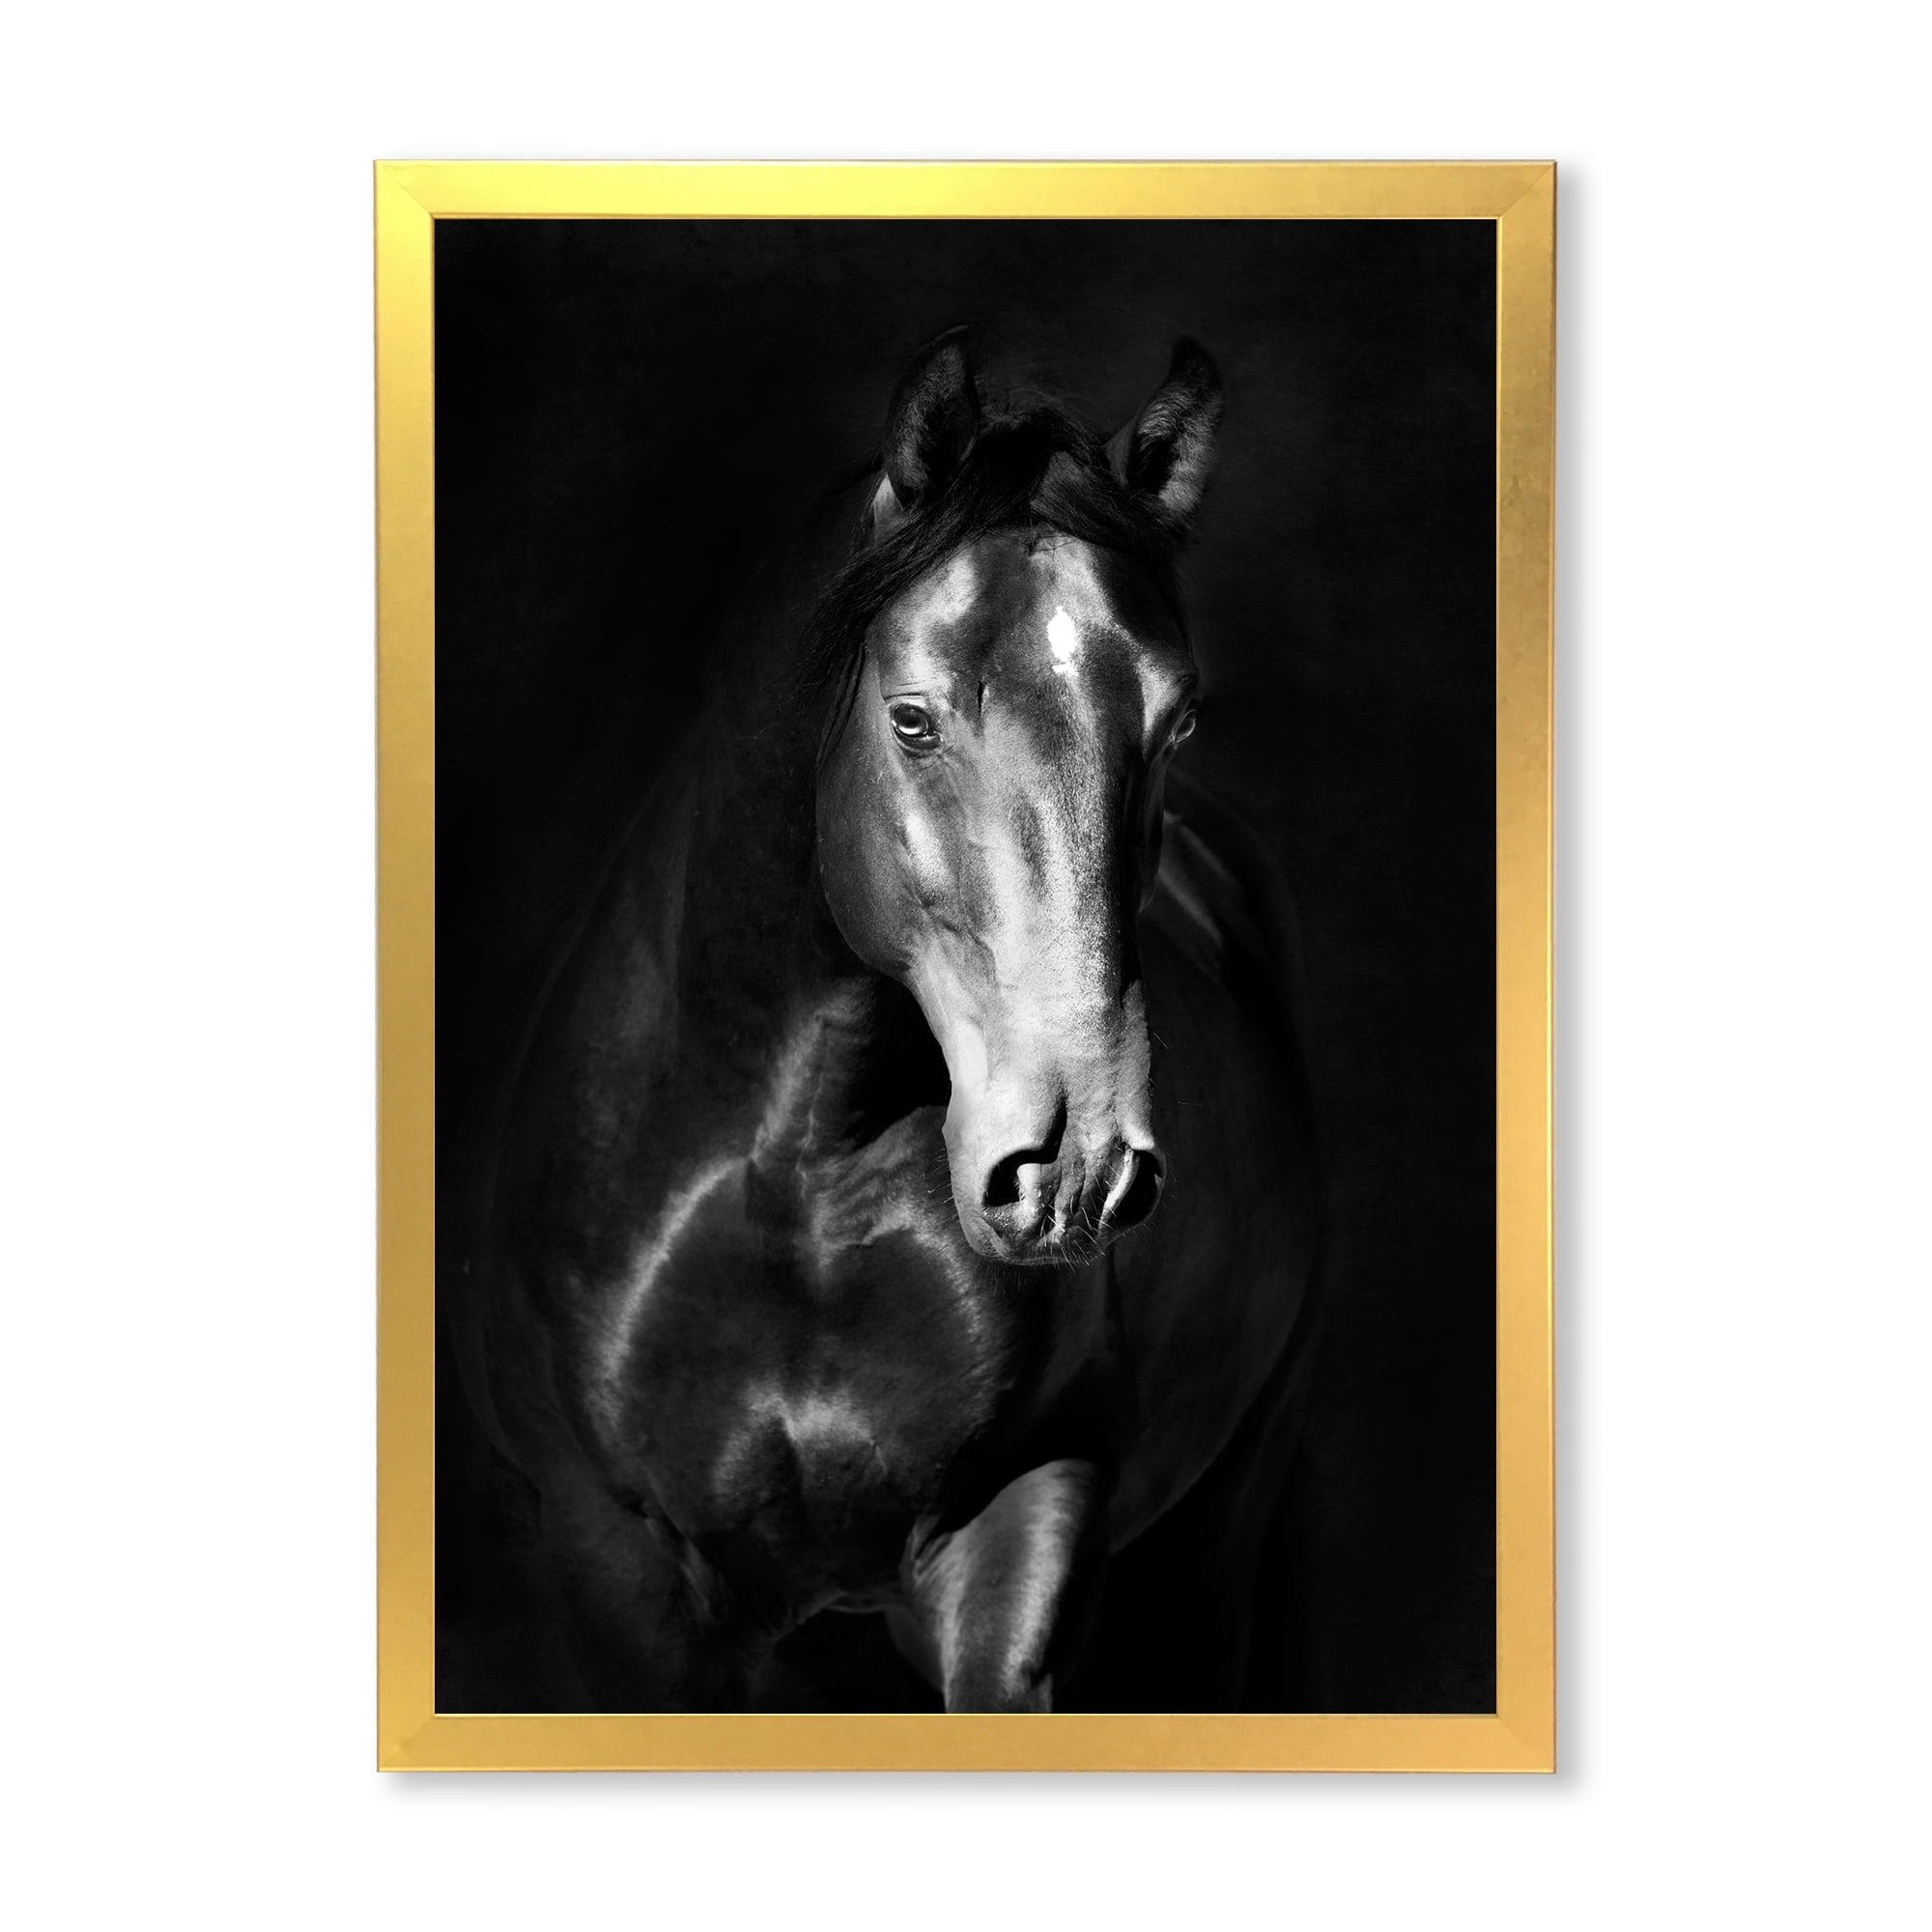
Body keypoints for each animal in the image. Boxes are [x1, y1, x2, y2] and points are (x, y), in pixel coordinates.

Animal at [451, 327, 1322, 1712]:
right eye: (911, 718)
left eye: (1176, 719)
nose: (1072, 1167)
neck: (794, 1176)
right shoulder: (621, 1569)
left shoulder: (1019, 1526)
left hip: (1213, 1543)